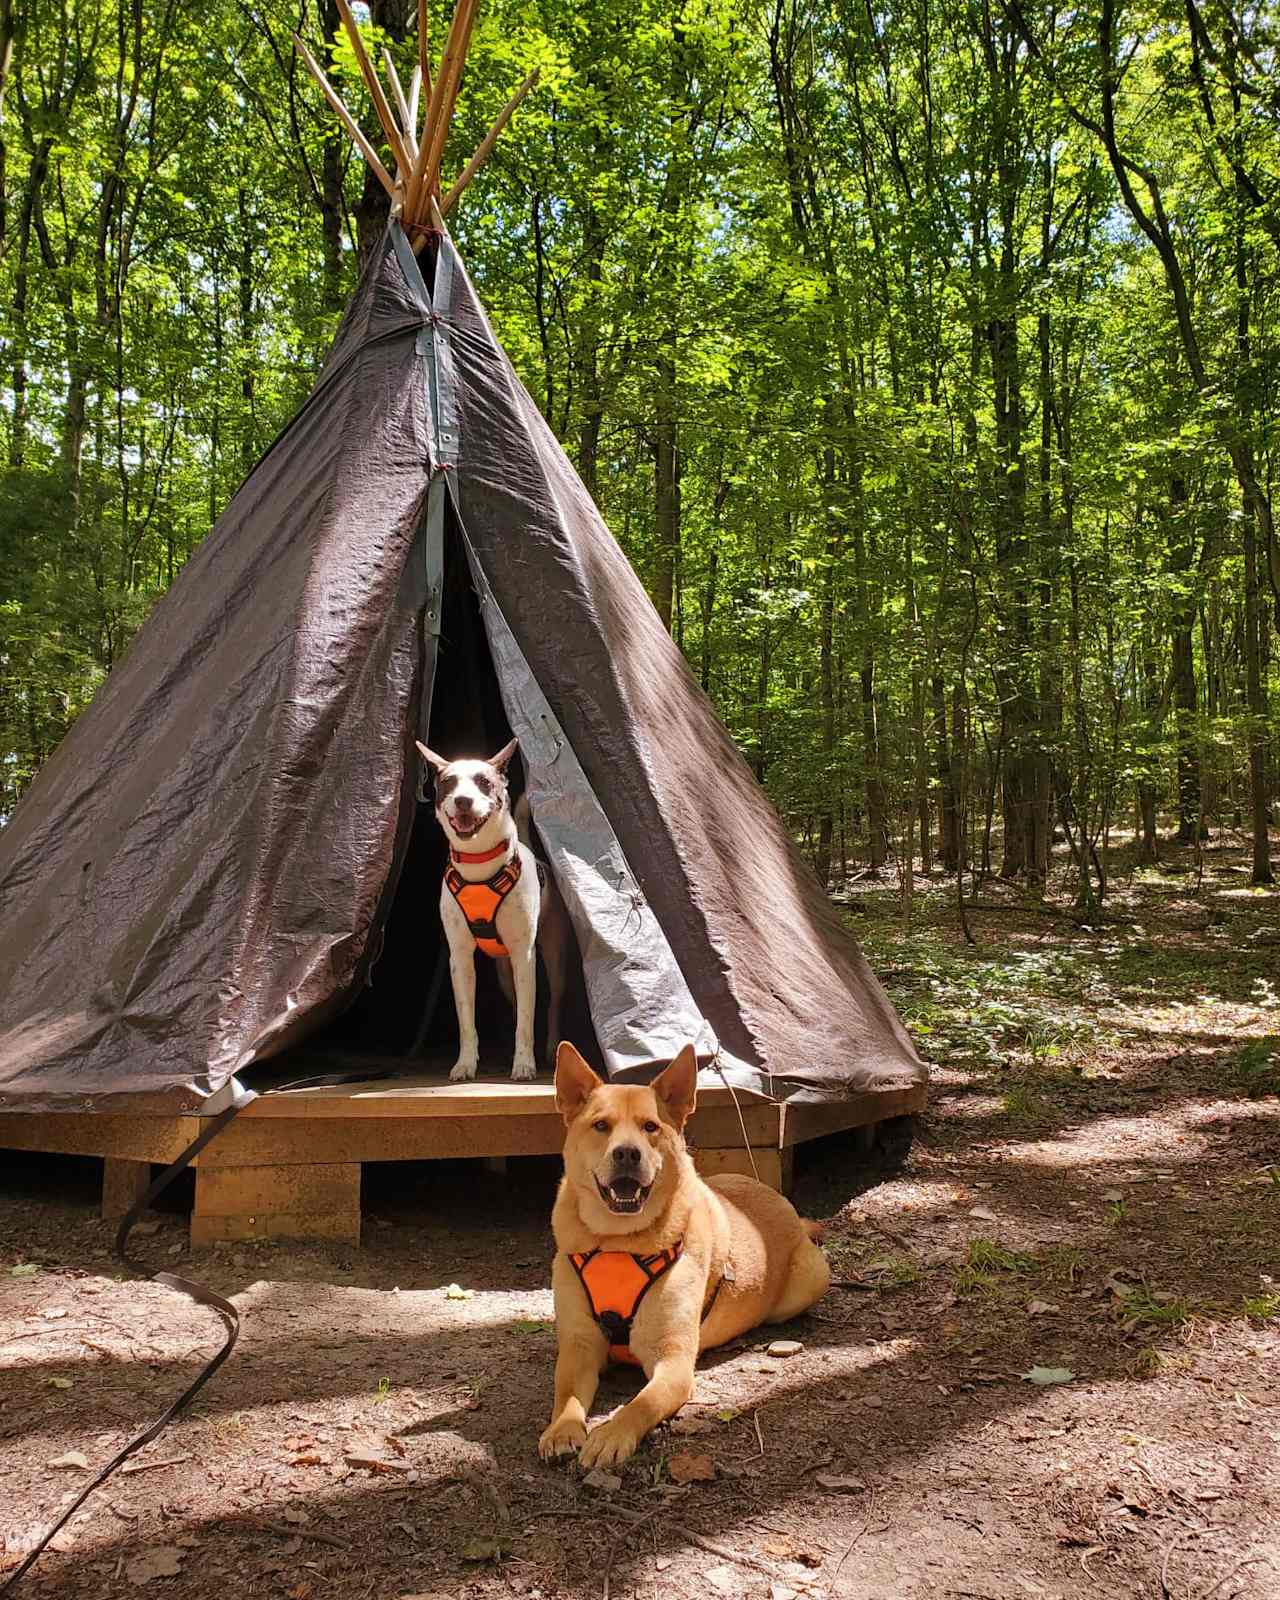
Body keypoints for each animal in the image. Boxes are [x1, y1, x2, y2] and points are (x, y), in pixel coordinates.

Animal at [416, 742, 566, 1081]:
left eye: (484, 781)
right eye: (448, 782)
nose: (463, 800)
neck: (479, 863)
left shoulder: (524, 955)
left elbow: (528, 1020)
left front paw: (524, 1064)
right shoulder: (459, 960)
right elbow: (466, 1022)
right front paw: (465, 1064)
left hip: (552, 955)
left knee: (552, 1002)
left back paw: (550, 1049)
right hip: (503, 972)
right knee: (516, 1003)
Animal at [537, 1043, 832, 1465]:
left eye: (650, 1127)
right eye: (601, 1126)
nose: (627, 1154)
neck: (617, 1242)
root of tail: (781, 1201)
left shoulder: (673, 1362)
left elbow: (640, 1405)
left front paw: (612, 1434)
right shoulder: (579, 1346)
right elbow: (566, 1396)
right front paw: (562, 1429)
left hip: (811, 1279)